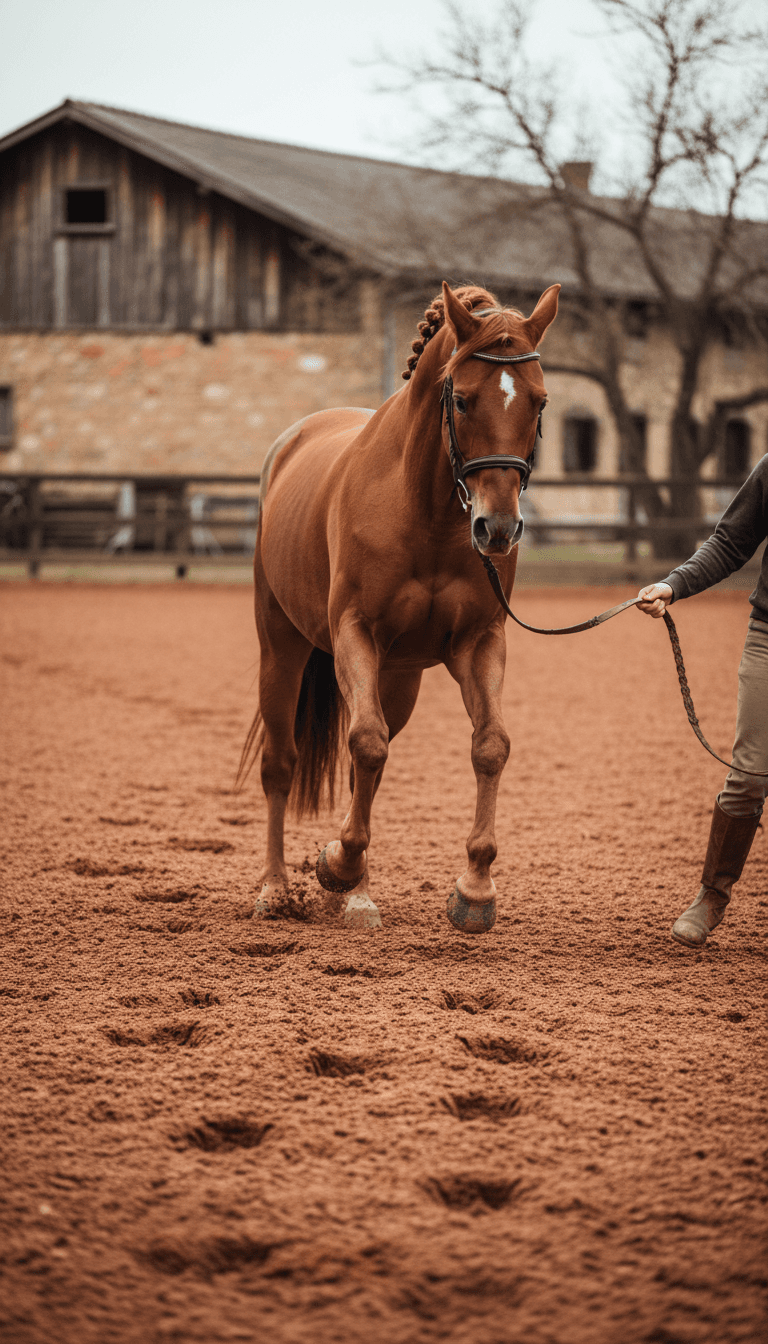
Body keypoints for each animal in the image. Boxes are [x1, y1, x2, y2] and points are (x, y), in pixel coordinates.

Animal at [239, 280, 559, 933]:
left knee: (370, 767)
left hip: (399, 677)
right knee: (284, 764)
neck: (427, 511)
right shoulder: (355, 634)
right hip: (281, 648)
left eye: (539, 402)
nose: (498, 529)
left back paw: (355, 894)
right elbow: (364, 742)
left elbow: (489, 745)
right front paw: (334, 865)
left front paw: (474, 889)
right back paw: (278, 888)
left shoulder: (478, 643)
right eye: (461, 399)